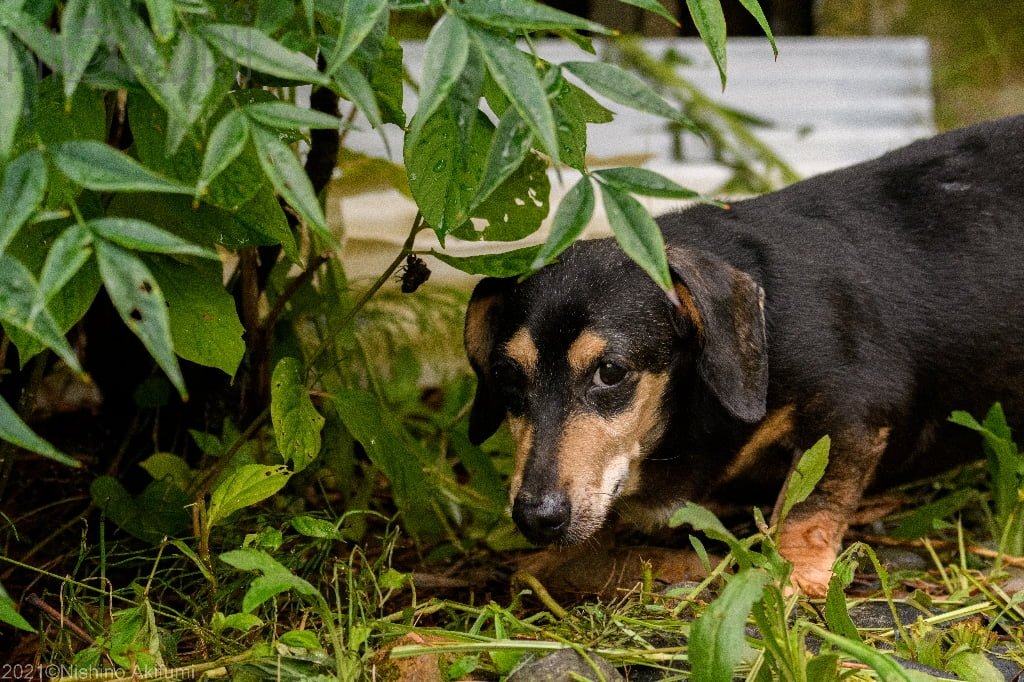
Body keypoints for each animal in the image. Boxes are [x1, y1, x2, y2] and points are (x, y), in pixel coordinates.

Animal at [462, 114, 1024, 593]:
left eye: (610, 371)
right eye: (507, 376)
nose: (536, 518)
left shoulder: (853, 412)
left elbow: (808, 505)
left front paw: (792, 574)